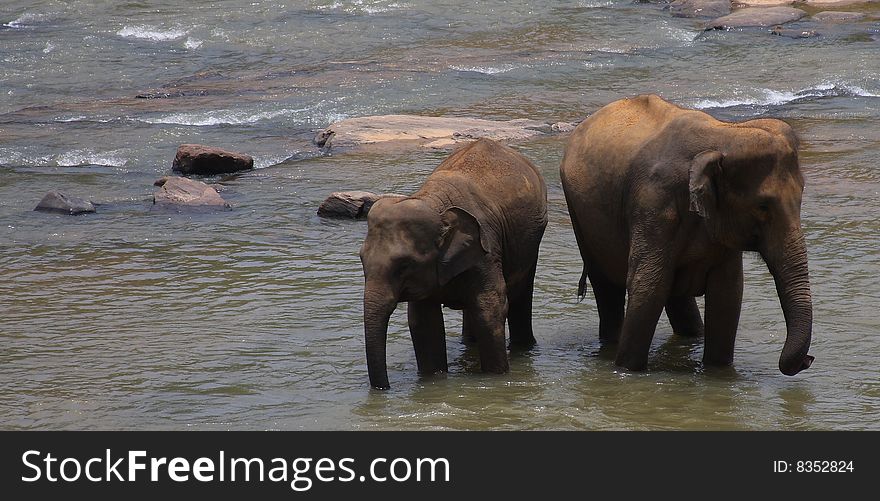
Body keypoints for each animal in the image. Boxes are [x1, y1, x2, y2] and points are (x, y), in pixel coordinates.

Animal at [360, 139, 548, 388]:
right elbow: (424, 323)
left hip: (531, 240)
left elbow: (490, 309)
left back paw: (523, 348)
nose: (384, 388)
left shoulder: (486, 251)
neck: (432, 200)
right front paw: (434, 380)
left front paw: (495, 379)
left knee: (520, 292)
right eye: (361, 260)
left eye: (404, 266)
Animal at [560, 94, 816, 376]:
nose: (808, 360)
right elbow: (648, 286)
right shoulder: (654, 204)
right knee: (608, 286)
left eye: (801, 197)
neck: (724, 134)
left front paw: (718, 372)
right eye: (762, 207)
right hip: (580, 217)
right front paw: (626, 370)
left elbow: (728, 293)